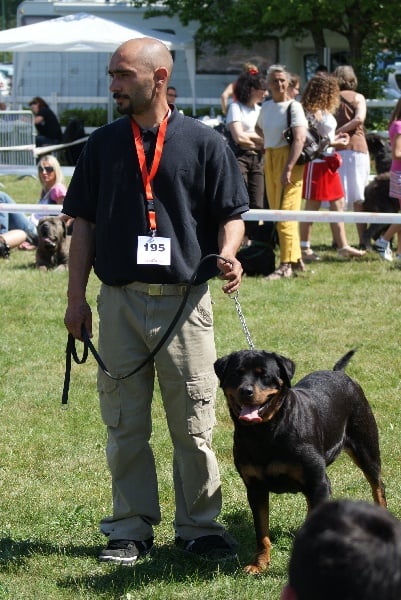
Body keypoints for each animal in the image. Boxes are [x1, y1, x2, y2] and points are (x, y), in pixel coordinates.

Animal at [214, 350, 386, 576]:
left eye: (265, 375)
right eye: (237, 373)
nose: (246, 391)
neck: (265, 432)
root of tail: (339, 373)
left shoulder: (318, 482)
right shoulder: (255, 488)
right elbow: (262, 532)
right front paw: (259, 564)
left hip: (366, 447)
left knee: (378, 486)